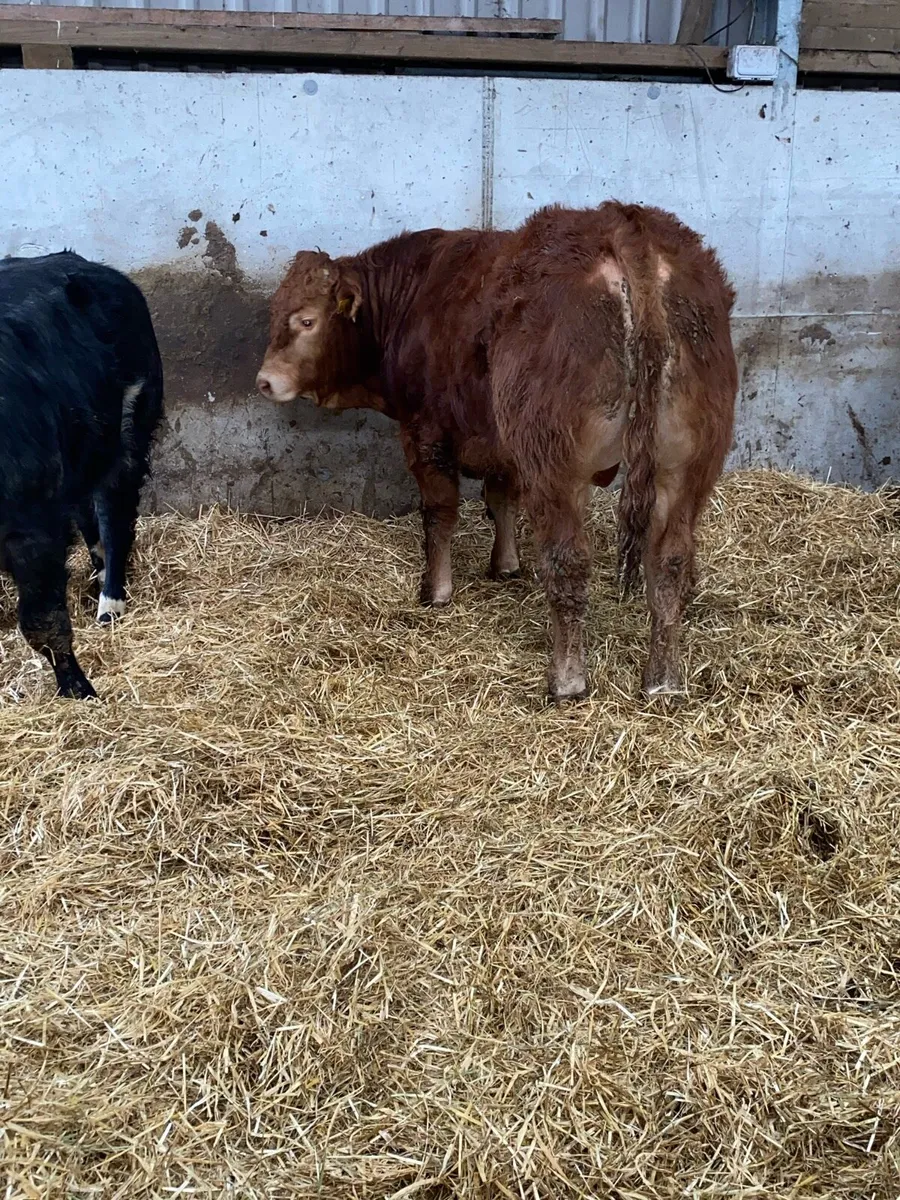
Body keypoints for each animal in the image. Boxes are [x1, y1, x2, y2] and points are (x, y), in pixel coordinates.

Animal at [0, 251, 164, 699]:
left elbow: (42, 621)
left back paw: (110, 605)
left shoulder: (30, 528)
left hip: (129, 431)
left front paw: (78, 688)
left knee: (114, 516)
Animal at [256, 203, 737, 701]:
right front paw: (505, 565)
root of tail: (625, 227)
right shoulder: (502, 445)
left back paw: (567, 679)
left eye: (307, 320)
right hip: (683, 468)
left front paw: (436, 590)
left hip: (559, 466)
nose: (265, 380)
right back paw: (663, 680)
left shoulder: (425, 433)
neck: (417, 293)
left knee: (568, 562)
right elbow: (501, 497)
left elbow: (440, 514)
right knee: (670, 562)